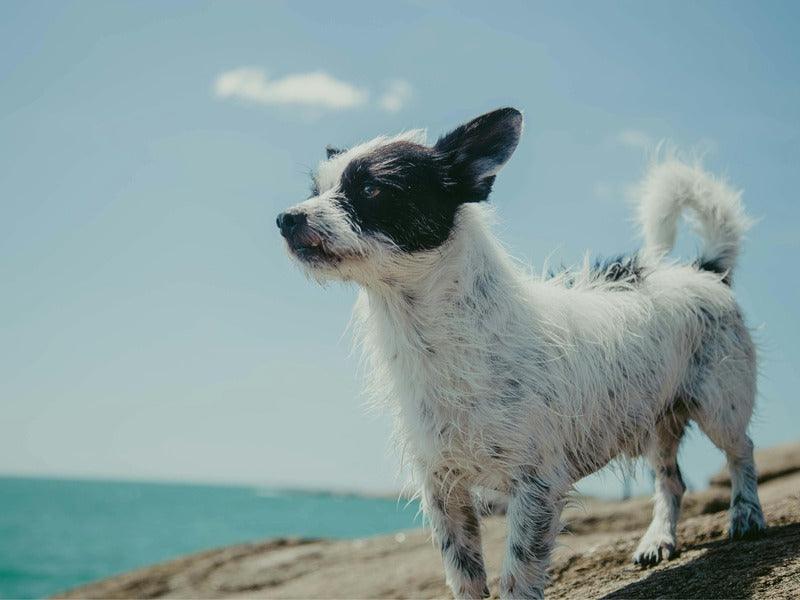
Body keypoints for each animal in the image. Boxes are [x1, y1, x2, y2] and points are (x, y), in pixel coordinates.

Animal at [276, 109, 768, 600]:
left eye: (373, 189)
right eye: (315, 191)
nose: (285, 218)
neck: (432, 334)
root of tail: (705, 270)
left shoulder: (536, 487)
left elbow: (517, 573)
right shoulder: (443, 489)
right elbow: (464, 573)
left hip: (719, 404)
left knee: (741, 451)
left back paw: (746, 515)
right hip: (656, 417)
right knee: (671, 478)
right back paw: (658, 539)